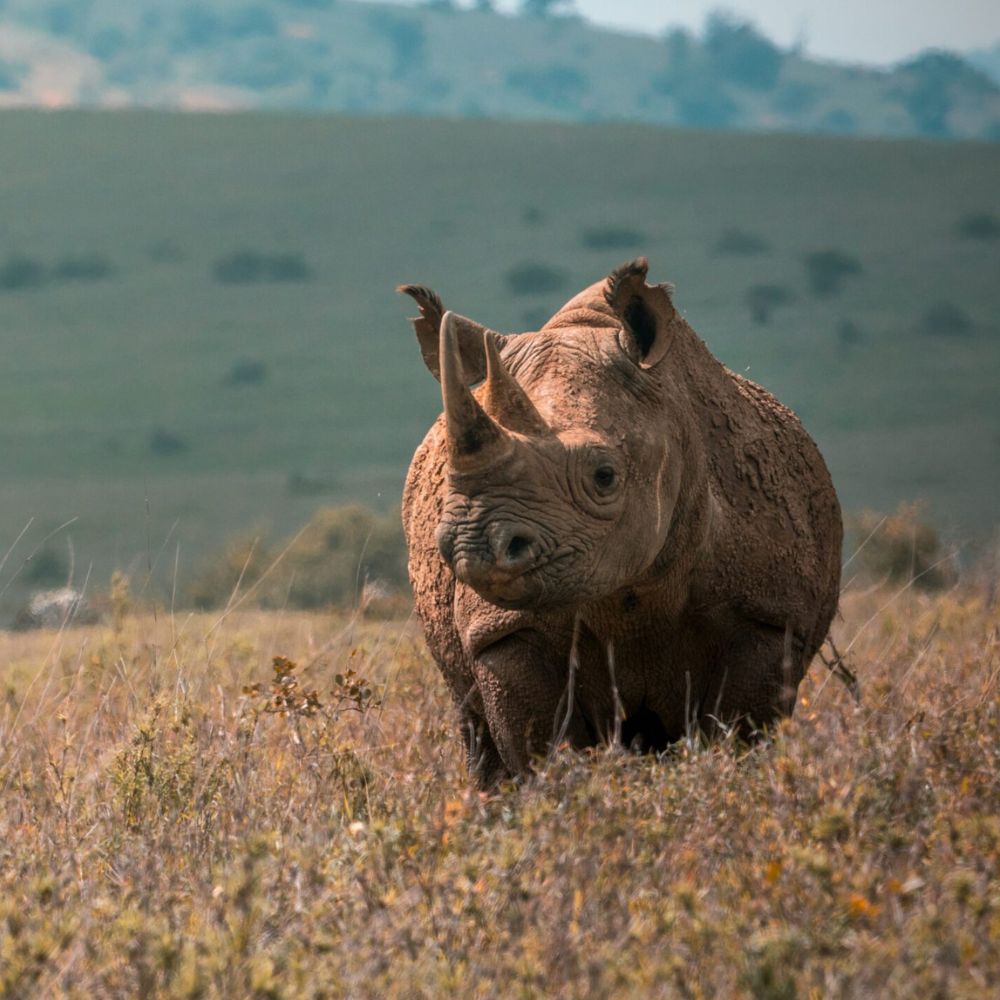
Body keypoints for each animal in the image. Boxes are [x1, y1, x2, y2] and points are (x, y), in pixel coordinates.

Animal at [399, 258, 841, 787]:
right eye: (446, 479)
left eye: (604, 476)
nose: (475, 549)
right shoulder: (502, 630)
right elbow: (540, 747)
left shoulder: (770, 616)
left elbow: (740, 734)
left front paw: (729, 787)